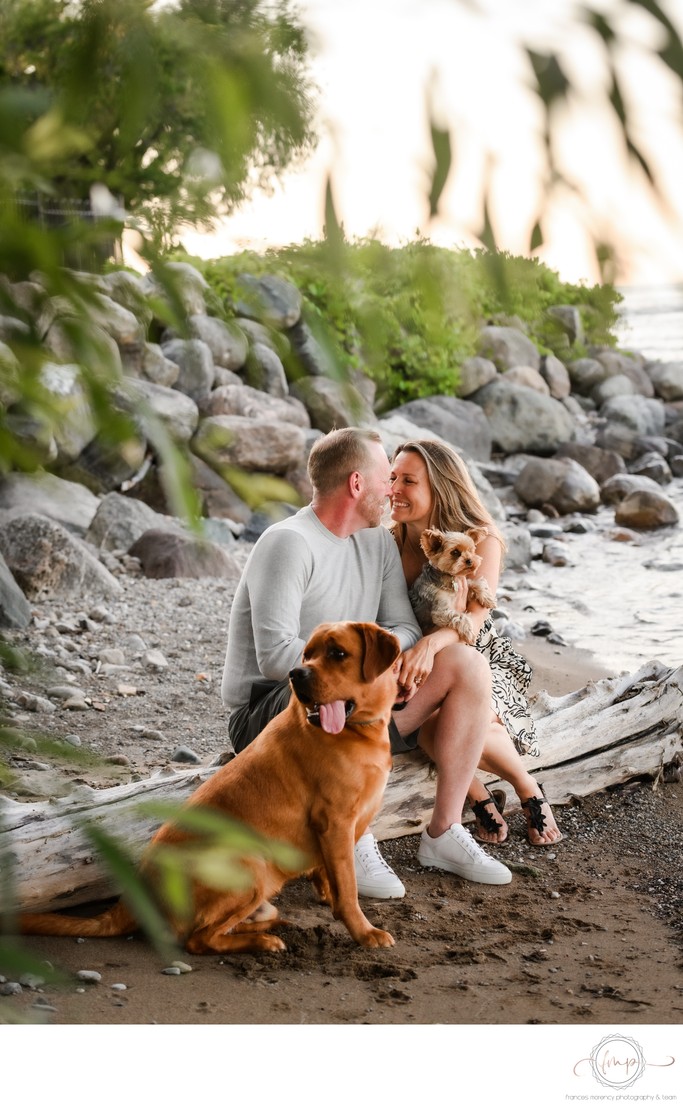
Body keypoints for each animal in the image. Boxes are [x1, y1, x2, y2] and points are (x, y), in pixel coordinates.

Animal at [21, 624, 402, 952]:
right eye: (306, 655)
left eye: (337, 653)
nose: (296, 674)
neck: (358, 732)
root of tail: (134, 901)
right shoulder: (334, 821)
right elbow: (348, 888)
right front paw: (363, 931)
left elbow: (331, 875)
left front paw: (328, 896)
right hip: (250, 865)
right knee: (200, 939)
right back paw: (262, 942)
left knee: (227, 927)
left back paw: (269, 927)